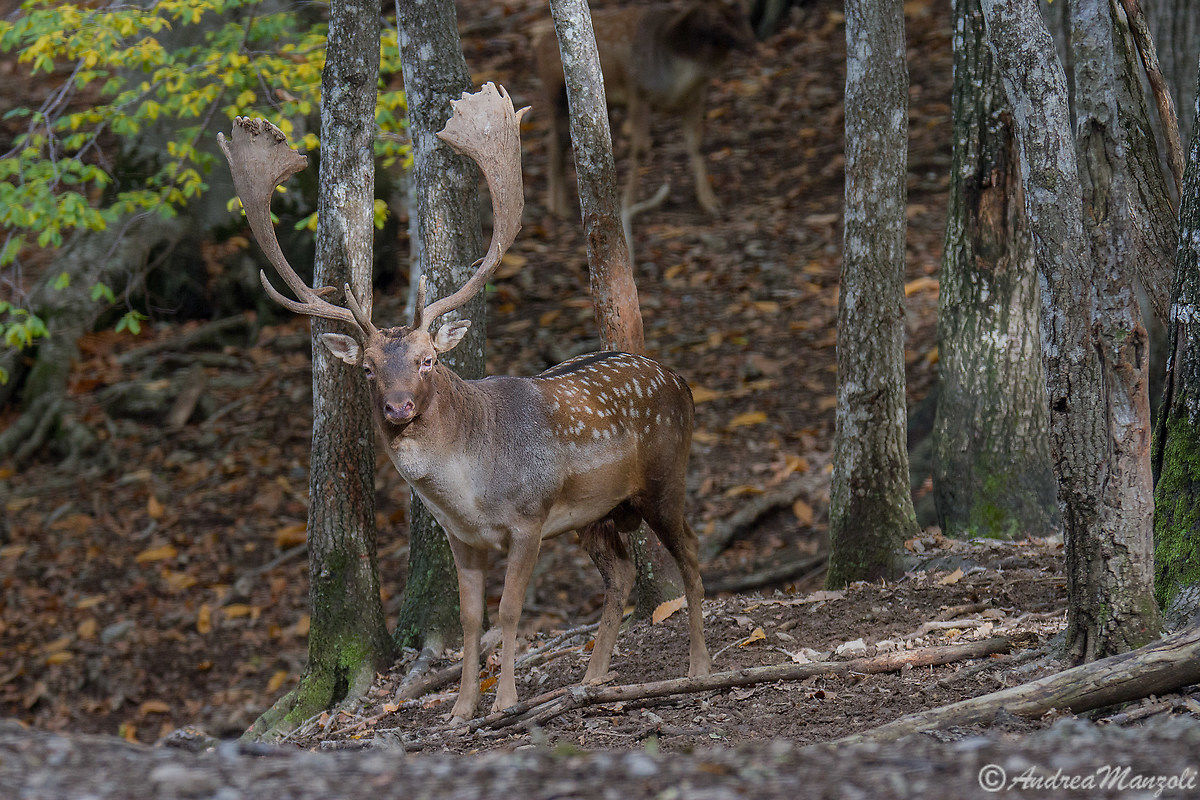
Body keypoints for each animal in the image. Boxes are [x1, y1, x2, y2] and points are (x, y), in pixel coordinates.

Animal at [218, 83, 711, 721]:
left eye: (429, 358)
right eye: (369, 369)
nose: (399, 409)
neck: (468, 490)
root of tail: (681, 380)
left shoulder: (528, 518)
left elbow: (509, 612)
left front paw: (503, 703)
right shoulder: (462, 538)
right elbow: (473, 620)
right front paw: (459, 709)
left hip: (664, 477)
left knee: (692, 551)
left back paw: (699, 667)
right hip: (595, 514)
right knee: (623, 574)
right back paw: (593, 678)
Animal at [532, 1, 754, 220]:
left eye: (742, 13)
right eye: (718, 19)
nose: (750, 44)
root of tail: (538, 47)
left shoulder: (695, 99)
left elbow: (696, 145)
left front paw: (710, 202)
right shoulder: (637, 93)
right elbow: (638, 150)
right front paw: (628, 204)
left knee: (554, 140)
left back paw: (556, 205)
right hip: (556, 97)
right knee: (554, 141)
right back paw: (558, 207)